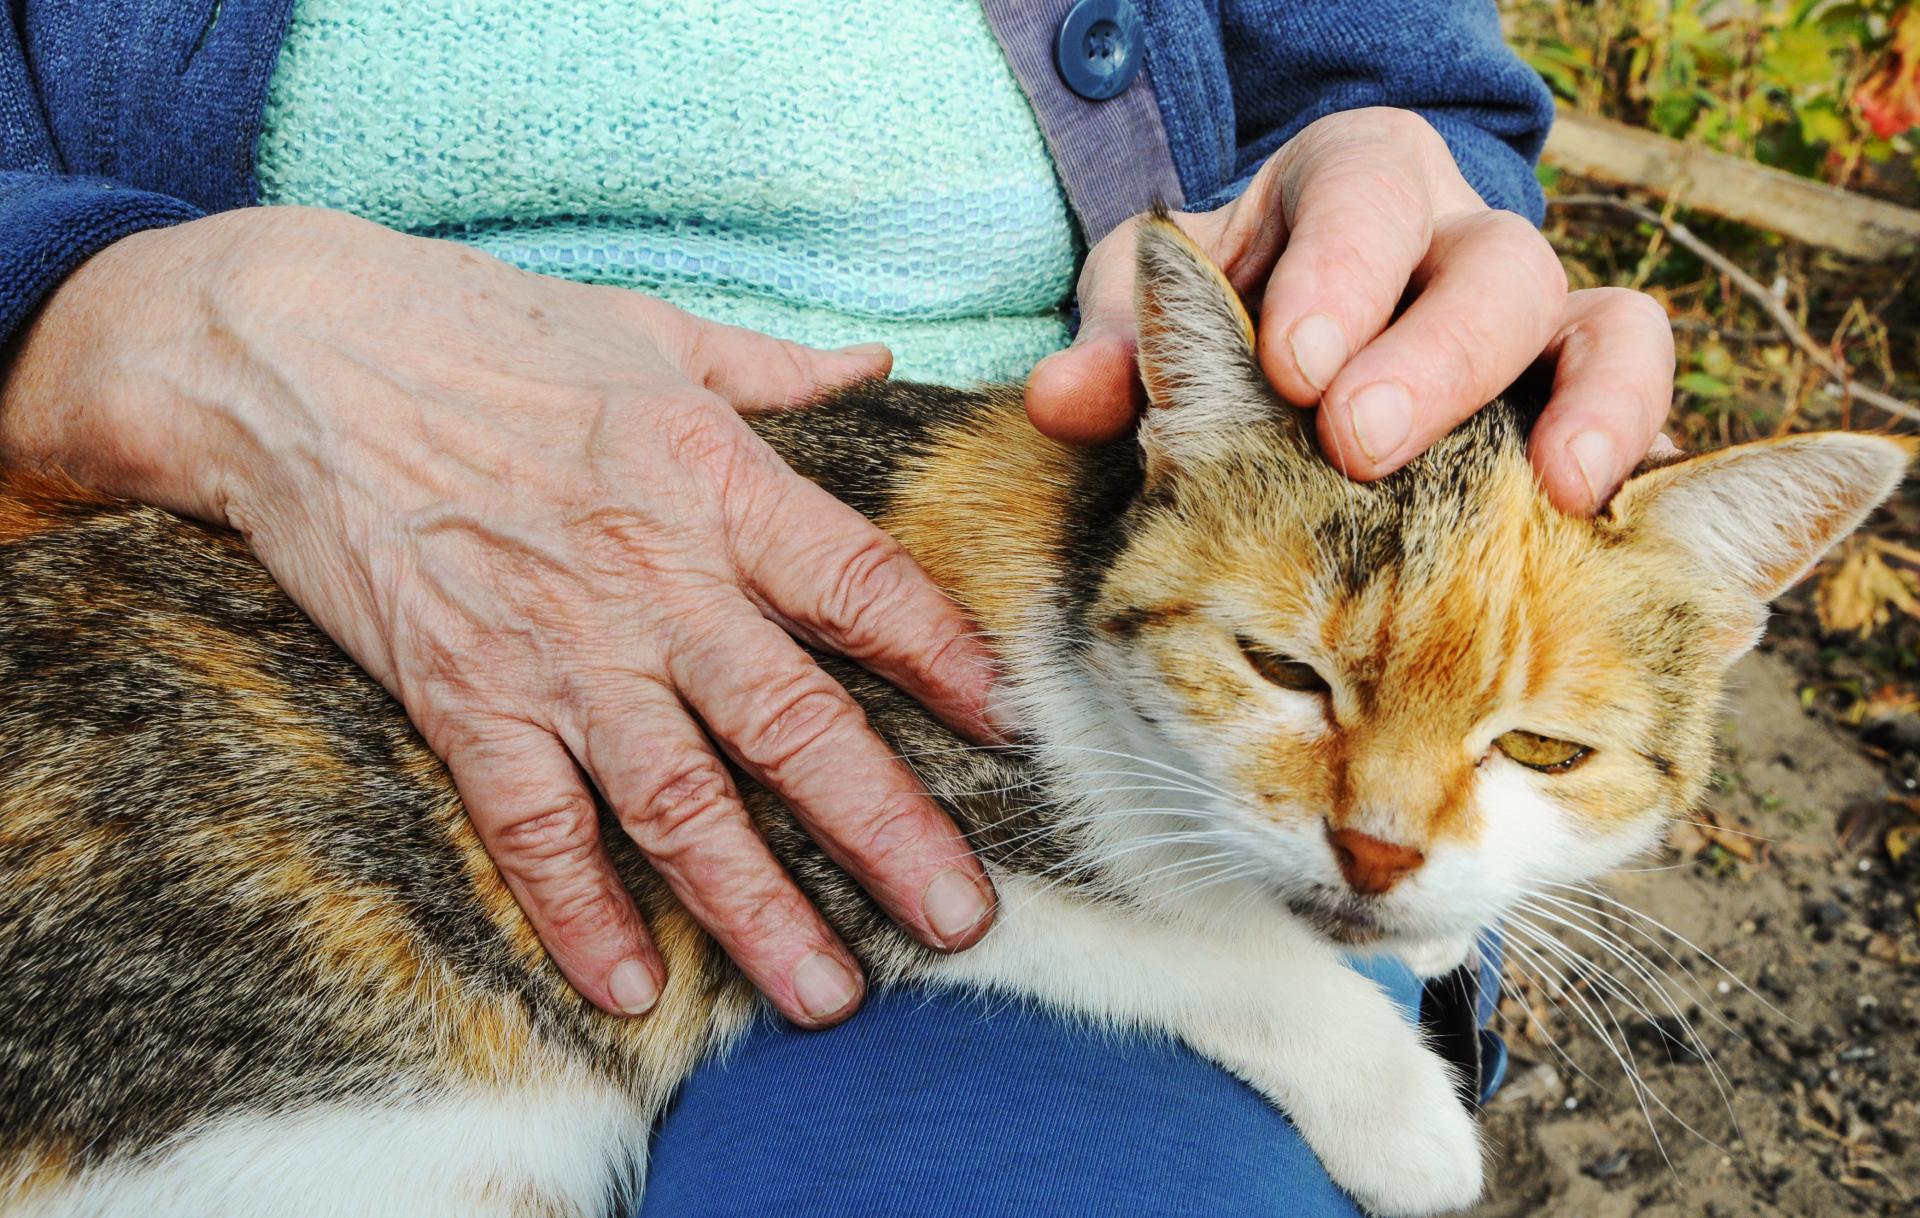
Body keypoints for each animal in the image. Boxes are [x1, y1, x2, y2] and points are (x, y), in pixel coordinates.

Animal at [0, 211, 1904, 1214]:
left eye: (1542, 748)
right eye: (1287, 670)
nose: (1377, 845)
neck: (1067, 574)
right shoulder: (837, 790)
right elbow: (1183, 941)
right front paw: (1409, 1108)